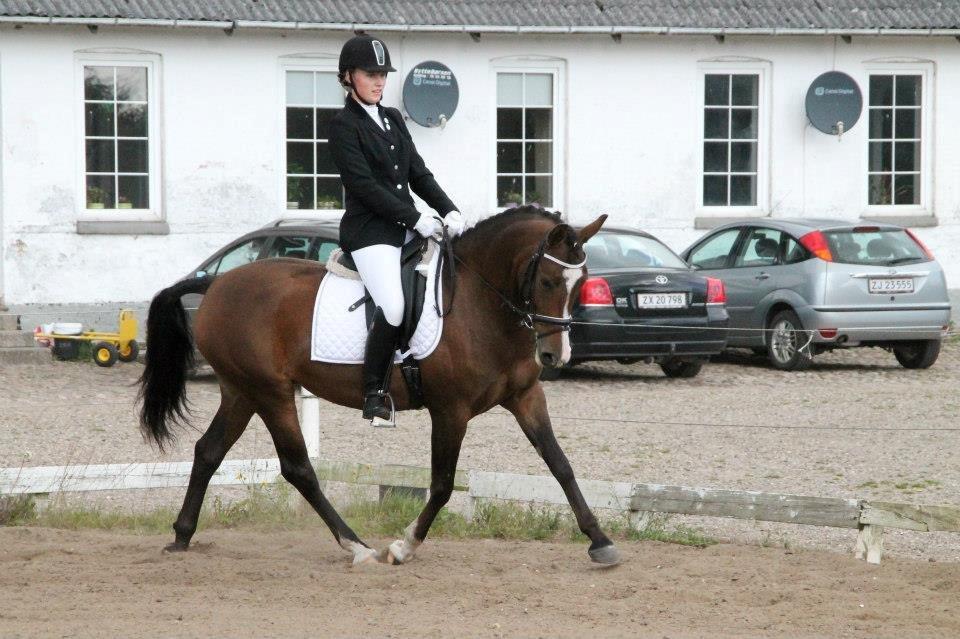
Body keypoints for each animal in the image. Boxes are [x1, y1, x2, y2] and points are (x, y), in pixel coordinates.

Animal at [138, 206, 620, 566]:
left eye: (581, 283)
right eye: (547, 281)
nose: (556, 356)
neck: (480, 305)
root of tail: (217, 282)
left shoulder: (524, 397)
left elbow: (560, 465)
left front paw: (600, 541)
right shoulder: (451, 410)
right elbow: (443, 484)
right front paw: (404, 547)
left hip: (241, 392)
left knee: (209, 451)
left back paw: (181, 536)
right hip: (269, 393)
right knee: (298, 468)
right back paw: (357, 546)